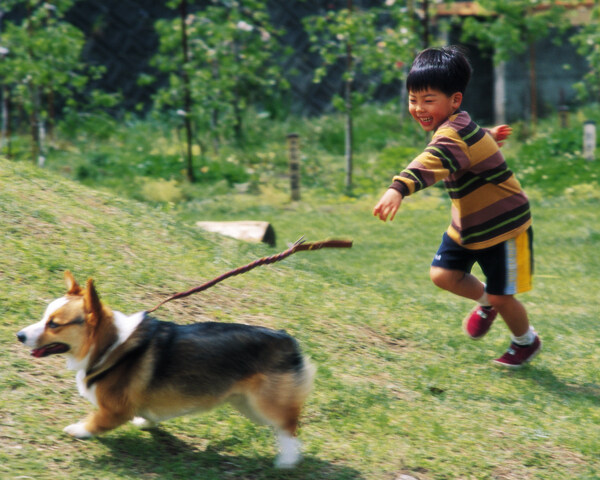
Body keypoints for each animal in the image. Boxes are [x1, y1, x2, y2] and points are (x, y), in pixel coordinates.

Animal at [15, 272, 314, 466]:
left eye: (54, 324)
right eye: (44, 317)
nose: (19, 335)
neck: (109, 344)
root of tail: (288, 340)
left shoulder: (114, 409)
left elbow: (95, 421)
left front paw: (78, 430)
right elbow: (148, 412)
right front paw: (145, 421)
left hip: (264, 404)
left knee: (289, 426)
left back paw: (287, 460)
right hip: (246, 404)